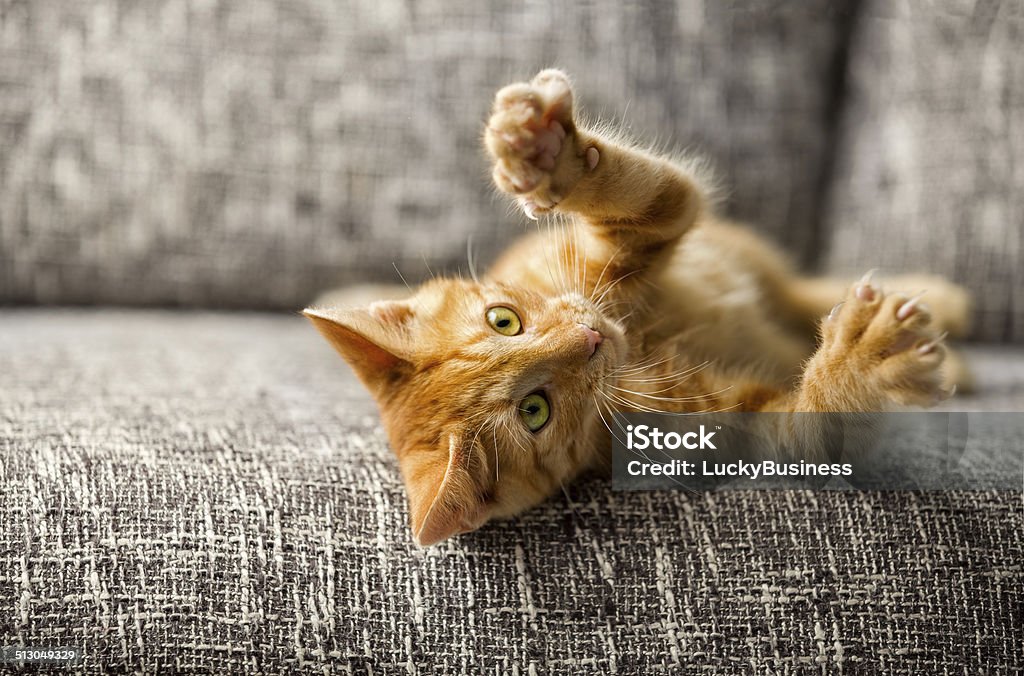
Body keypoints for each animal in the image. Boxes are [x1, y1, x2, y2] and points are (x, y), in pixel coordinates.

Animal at [301, 70, 966, 544]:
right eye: (535, 412)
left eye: (504, 320)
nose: (590, 339)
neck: (639, 340)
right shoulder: (749, 432)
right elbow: (819, 429)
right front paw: (867, 360)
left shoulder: (640, 227)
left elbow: (643, 191)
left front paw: (546, 153)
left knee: (801, 291)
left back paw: (945, 304)